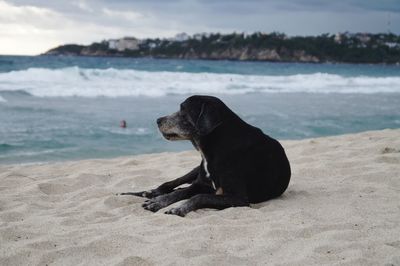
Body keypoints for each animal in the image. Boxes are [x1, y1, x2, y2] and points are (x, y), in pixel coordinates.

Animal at [119, 95, 290, 216]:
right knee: (170, 184)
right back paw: (147, 193)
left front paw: (179, 208)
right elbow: (180, 192)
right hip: (194, 171)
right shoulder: (200, 184)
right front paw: (159, 201)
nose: (158, 120)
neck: (214, 147)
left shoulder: (238, 198)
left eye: (183, 110)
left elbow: (199, 197)